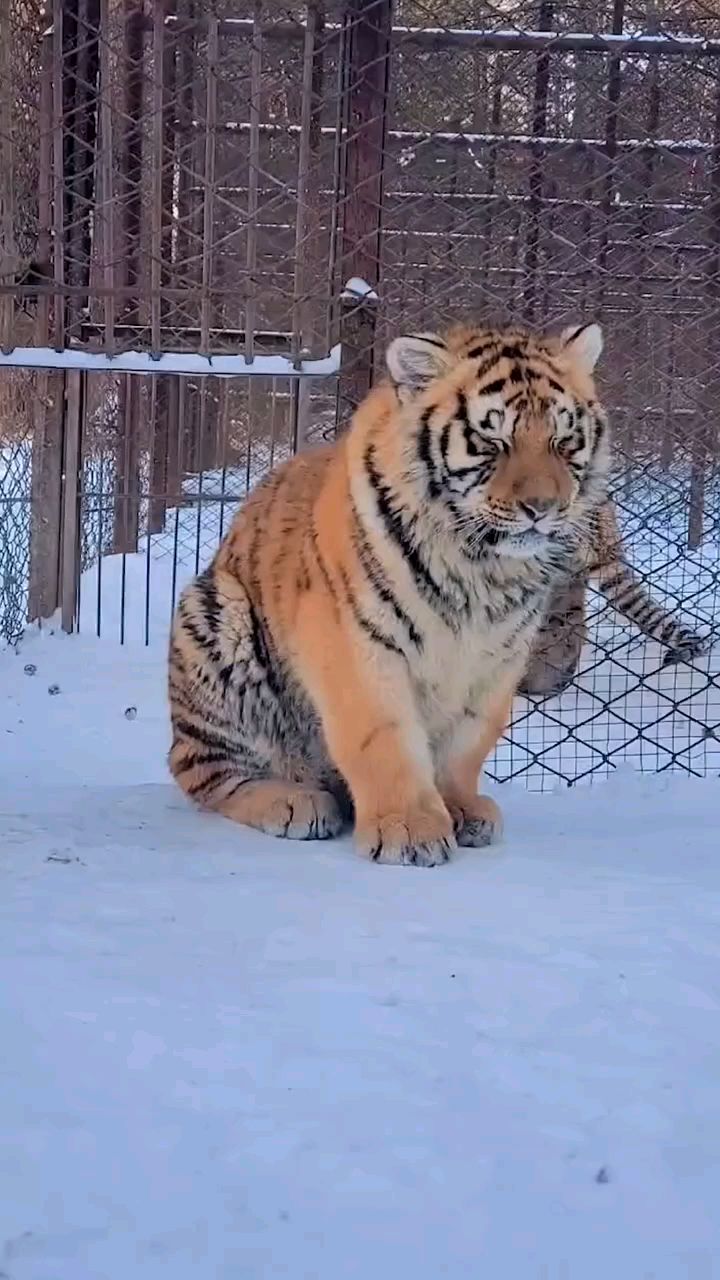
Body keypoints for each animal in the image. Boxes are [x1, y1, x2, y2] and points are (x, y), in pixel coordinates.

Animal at [168, 319, 610, 866]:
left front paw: (461, 808)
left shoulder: (498, 657)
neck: (481, 565)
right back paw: (294, 802)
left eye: (563, 439)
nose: (542, 508)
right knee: (204, 770)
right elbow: (383, 738)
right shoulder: (357, 641)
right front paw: (410, 829)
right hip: (215, 614)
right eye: (492, 439)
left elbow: (468, 743)